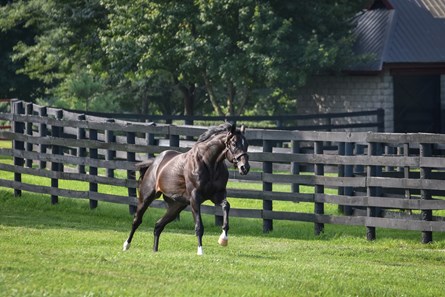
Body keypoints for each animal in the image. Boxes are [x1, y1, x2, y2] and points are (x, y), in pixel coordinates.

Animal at [122, 122, 250, 254]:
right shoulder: (195, 198)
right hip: (146, 197)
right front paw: (200, 251)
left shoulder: (217, 195)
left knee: (158, 226)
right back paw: (126, 245)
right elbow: (199, 226)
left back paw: (155, 251)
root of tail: (154, 163)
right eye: (234, 143)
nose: (245, 168)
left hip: (176, 206)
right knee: (137, 220)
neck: (209, 164)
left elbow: (226, 206)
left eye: (247, 144)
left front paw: (223, 239)